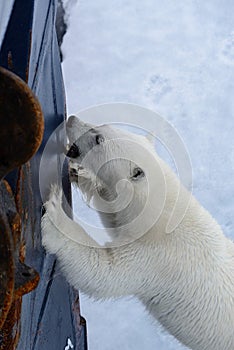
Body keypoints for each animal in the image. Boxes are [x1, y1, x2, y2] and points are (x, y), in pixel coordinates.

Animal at [41, 115, 234, 350]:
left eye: (98, 138)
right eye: (104, 125)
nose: (71, 119)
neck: (162, 209)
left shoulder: (156, 256)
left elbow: (105, 272)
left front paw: (55, 215)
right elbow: (112, 215)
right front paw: (80, 174)